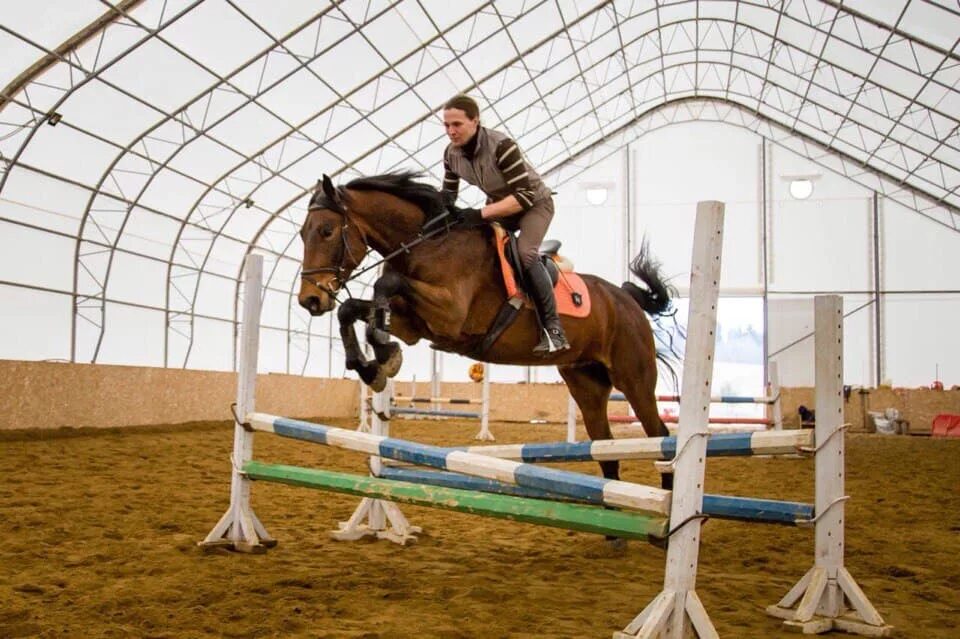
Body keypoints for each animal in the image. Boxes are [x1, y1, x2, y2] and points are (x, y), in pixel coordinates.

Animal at [300, 172, 676, 492]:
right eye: (304, 233)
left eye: (327, 231)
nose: (310, 300)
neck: (427, 244)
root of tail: (627, 299)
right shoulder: (414, 324)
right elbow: (353, 309)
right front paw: (374, 365)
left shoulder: (448, 313)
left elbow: (385, 283)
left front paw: (381, 353)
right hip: (586, 382)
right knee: (605, 445)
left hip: (634, 379)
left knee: (659, 435)